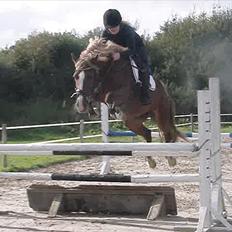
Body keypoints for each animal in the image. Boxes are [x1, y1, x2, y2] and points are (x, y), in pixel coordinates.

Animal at [70, 38, 185, 169]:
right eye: (75, 77)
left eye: (90, 76)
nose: (80, 105)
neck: (109, 71)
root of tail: (166, 93)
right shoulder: (100, 92)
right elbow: (97, 96)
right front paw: (91, 109)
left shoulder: (125, 92)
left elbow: (111, 96)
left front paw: (111, 108)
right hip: (132, 120)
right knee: (148, 133)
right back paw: (151, 161)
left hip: (160, 113)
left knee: (166, 132)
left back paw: (170, 158)